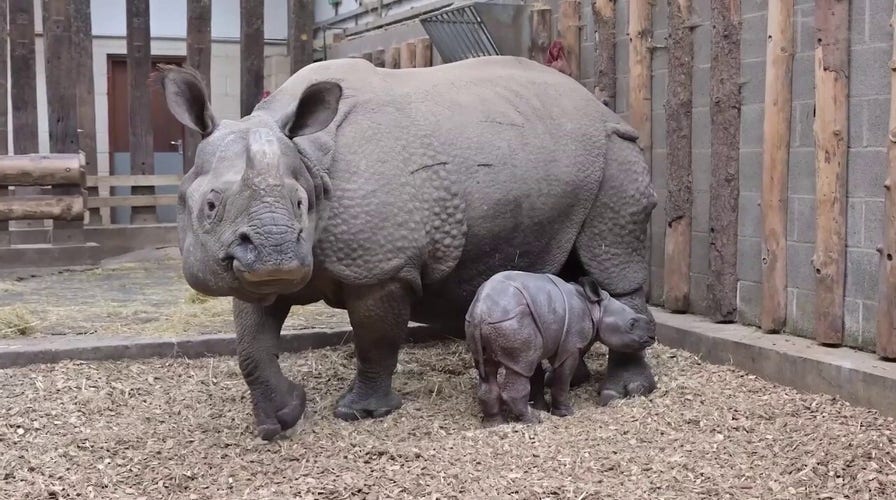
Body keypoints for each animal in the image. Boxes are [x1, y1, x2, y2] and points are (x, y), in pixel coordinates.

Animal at [153, 55, 658, 441]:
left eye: (301, 204)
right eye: (211, 205)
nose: (275, 254)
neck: (311, 163)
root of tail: (605, 108)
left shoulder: (383, 267)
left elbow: (375, 339)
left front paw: (361, 413)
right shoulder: (247, 266)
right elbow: (251, 345)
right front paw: (281, 418)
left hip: (616, 154)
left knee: (612, 264)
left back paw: (621, 394)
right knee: (570, 273)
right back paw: (571, 379)